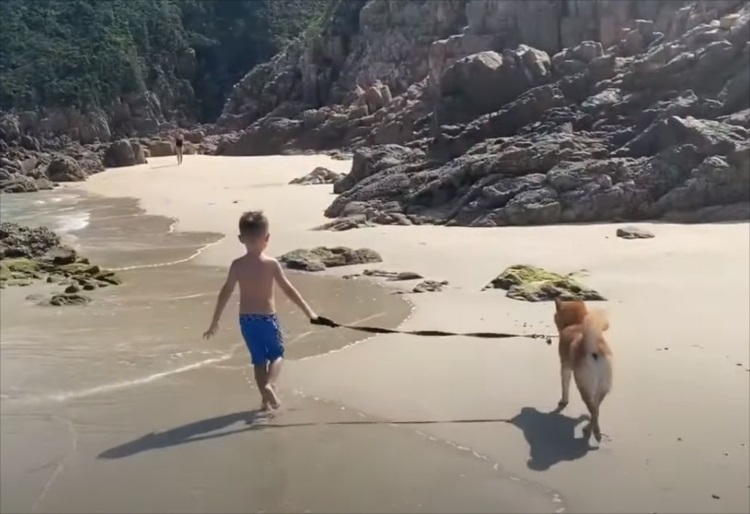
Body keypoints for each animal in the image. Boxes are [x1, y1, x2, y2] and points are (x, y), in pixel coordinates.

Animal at [556, 296, 612, 440]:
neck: (576, 323)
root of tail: (595, 351)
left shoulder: (565, 367)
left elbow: (564, 387)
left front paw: (563, 401)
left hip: (584, 386)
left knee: (593, 409)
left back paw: (595, 432)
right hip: (602, 388)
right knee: (596, 409)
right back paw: (590, 429)